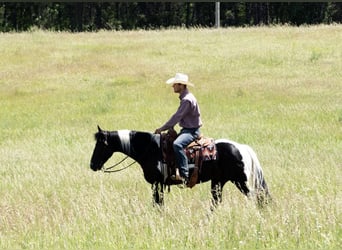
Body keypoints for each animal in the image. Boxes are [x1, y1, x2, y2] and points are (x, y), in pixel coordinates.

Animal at [89, 126, 272, 208]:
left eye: (101, 145)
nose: (92, 165)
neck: (150, 149)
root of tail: (242, 148)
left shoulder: (157, 184)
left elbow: (157, 204)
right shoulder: (159, 185)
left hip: (242, 182)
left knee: (258, 198)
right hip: (218, 182)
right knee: (216, 203)